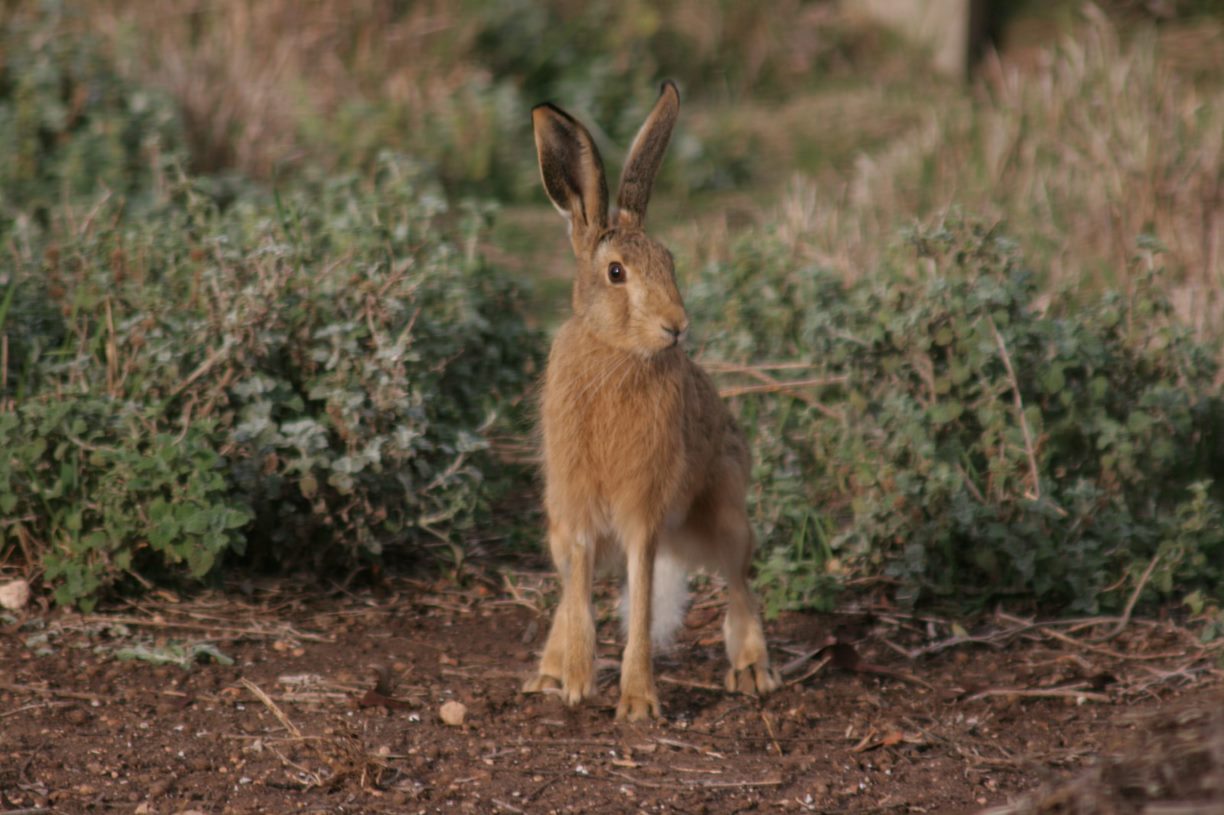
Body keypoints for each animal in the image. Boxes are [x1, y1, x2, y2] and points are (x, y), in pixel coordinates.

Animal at [522, 81, 780, 721]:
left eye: (670, 262)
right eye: (616, 273)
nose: (676, 326)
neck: (616, 352)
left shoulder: (643, 515)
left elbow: (638, 608)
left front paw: (637, 702)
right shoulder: (576, 510)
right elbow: (579, 595)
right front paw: (576, 683)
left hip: (727, 516)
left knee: (740, 582)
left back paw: (752, 670)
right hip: (558, 527)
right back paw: (547, 673)